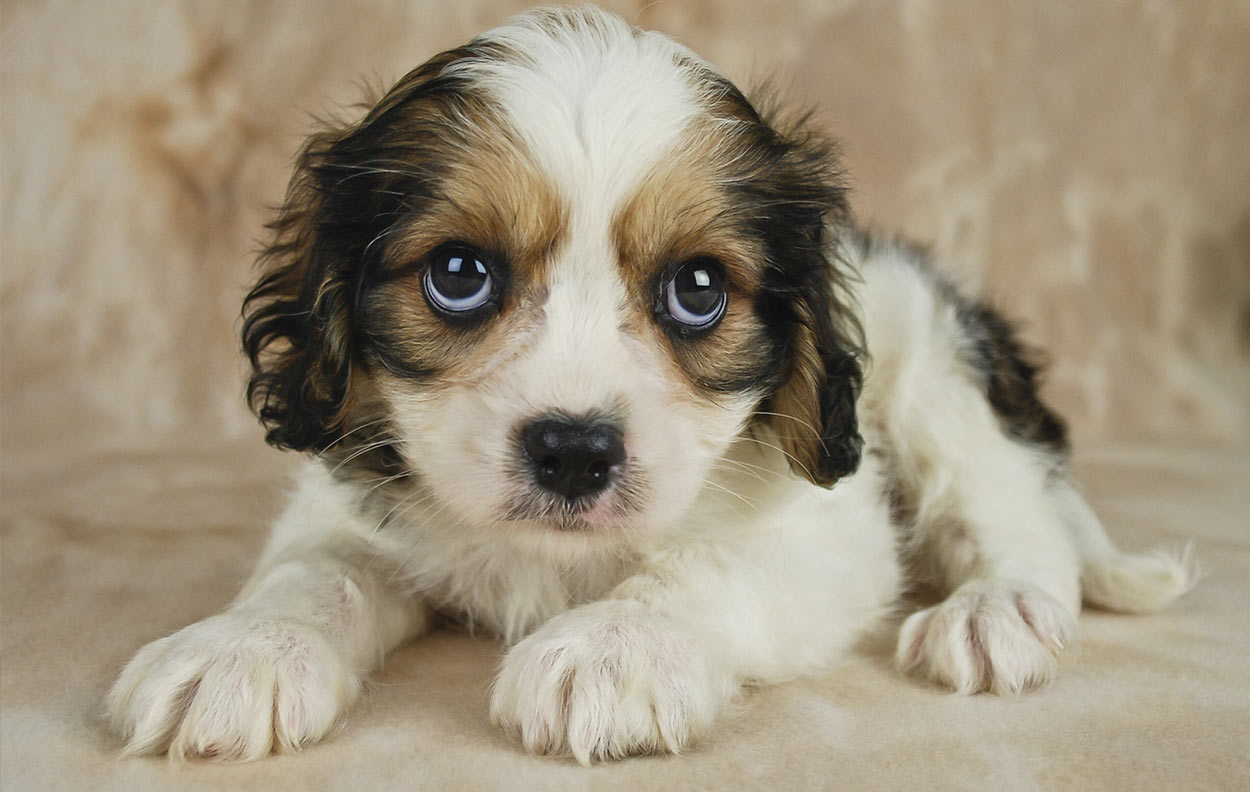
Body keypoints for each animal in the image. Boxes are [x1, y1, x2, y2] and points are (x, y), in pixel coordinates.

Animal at [105, 6, 1190, 759]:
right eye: (458, 274)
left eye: (698, 290)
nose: (574, 453)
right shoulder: (351, 503)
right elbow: (314, 569)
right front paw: (244, 647)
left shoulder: (826, 536)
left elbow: (698, 567)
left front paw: (615, 647)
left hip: (934, 369)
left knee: (1017, 516)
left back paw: (997, 610)